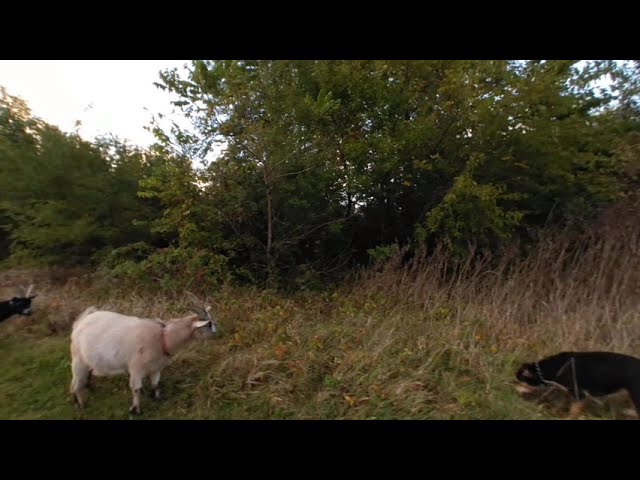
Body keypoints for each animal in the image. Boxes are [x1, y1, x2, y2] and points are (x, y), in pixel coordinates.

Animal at [69, 296, 216, 412]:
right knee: (75, 383)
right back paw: (81, 404)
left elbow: (156, 384)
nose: (217, 333)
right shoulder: (136, 368)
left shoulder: (156, 367)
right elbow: (136, 389)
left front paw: (157, 398)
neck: (162, 338)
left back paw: (85, 392)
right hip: (78, 359)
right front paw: (136, 410)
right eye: (208, 324)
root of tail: (81, 321)